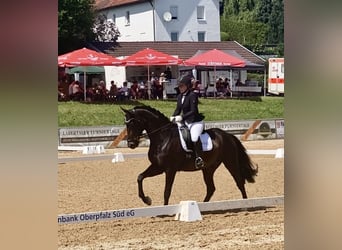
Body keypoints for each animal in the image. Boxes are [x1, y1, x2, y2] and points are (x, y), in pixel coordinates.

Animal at [121, 105, 258, 205]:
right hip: (208, 168)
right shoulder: (158, 167)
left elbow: (166, 191)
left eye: (133, 123)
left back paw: (246, 204)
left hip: (230, 162)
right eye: (126, 124)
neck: (163, 137)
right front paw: (147, 200)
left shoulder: (170, 169)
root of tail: (228, 135)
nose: (131, 144)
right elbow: (140, 177)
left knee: (239, 182)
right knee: (211, 188)